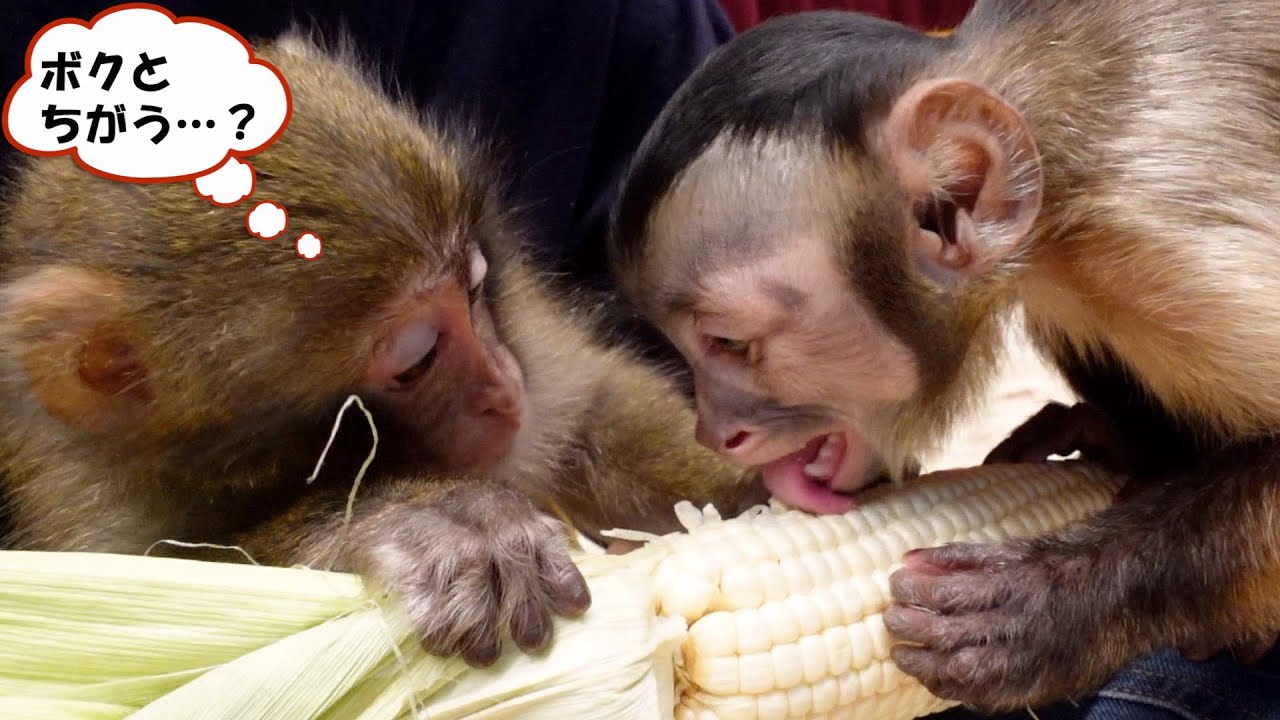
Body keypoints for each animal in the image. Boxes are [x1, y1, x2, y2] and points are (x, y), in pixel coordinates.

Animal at [0, 31, 765, 670]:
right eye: (418, 360)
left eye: (476, 286)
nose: (502, 389)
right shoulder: (94, 506)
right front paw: (425, 520)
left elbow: (589, 407)